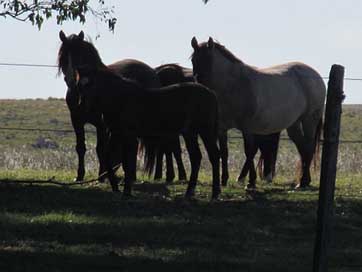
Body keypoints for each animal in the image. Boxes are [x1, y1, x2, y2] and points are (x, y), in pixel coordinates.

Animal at [191, 37, 324, 188]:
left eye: (209, 60)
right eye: (193, 60)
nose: (200, 85)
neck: (235, 85)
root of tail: (316, 75)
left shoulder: (247, 127)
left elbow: (249, 151)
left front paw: (251, 182)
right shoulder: (222, 128)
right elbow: (224, 152)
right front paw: (224, 179)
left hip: (309, 120)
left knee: (309, 147)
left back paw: (303, 182)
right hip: (294, 124)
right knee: (302, 148)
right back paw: (304, 181)